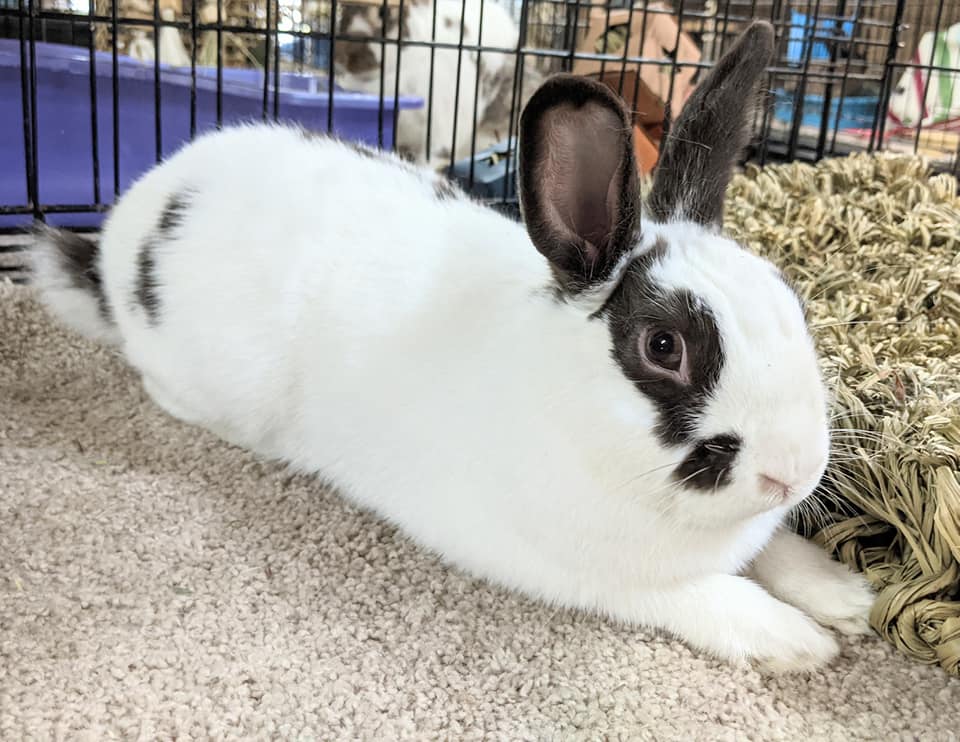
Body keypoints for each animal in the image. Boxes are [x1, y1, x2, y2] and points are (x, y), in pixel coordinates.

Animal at [32, 21, 875, 672]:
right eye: (663, 346)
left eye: (791, 298)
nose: (795, 472)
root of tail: (131, 221)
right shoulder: (606, 578)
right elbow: (707, 596)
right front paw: (800, 641)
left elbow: (774, 548)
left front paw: (845, 595)